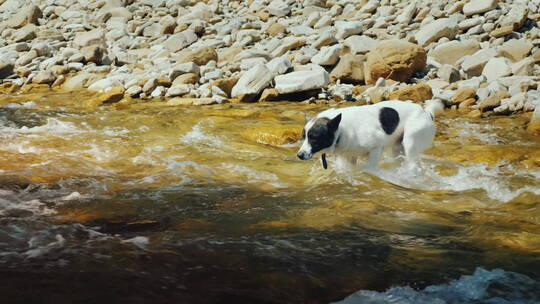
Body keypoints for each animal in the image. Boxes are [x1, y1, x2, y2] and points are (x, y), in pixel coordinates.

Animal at [296, 100, 442, 170]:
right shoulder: (348, 157)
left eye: (314, 138)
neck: (341, 129)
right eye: (304, 137)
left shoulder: (376, 149)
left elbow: (369, 167)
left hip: (410, 142)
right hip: (396, 148)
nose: (299, 155)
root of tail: (426, 112)